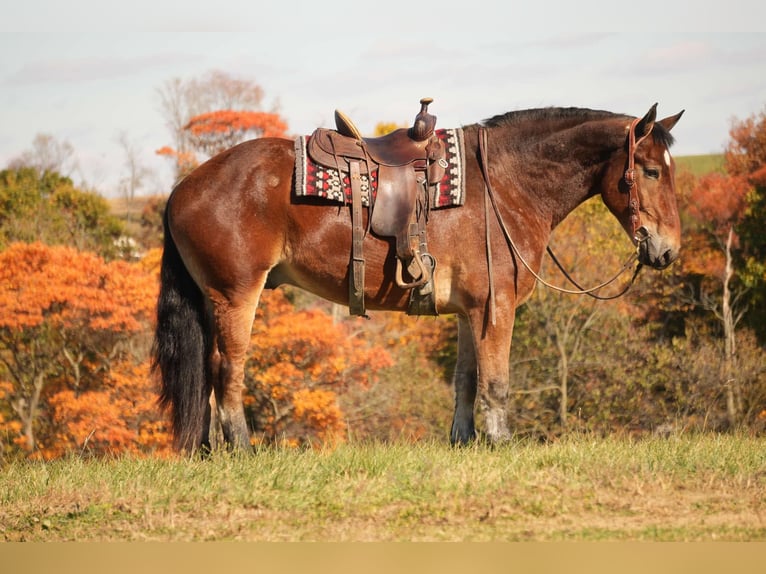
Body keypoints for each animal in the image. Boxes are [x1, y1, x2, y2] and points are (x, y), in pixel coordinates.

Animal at [153, 104, 688, 454]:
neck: (505, 184)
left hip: (212, 301)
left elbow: (466, 380)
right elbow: (497, 382)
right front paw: (502, 443)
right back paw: (242, 448)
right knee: (227, 370)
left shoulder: (471, 311)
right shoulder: (497, 307)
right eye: (650, 171)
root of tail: (183, 188)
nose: (667, 250)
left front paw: (464, 441)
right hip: (236, 295)